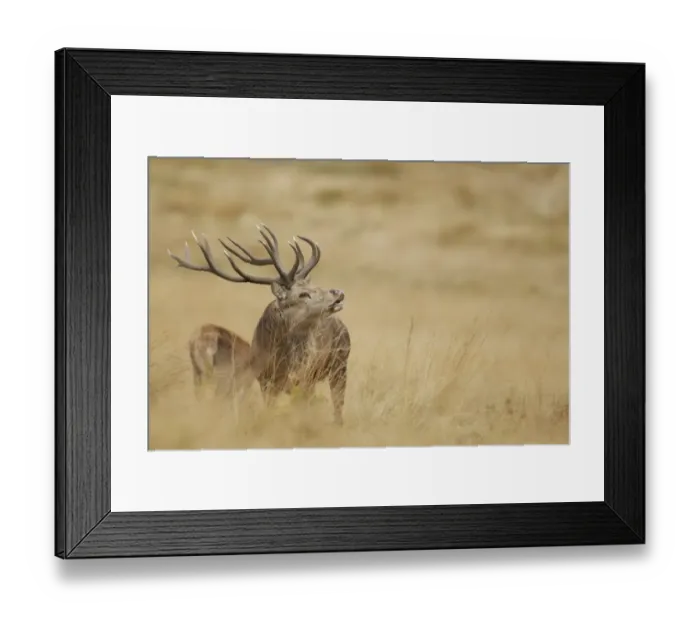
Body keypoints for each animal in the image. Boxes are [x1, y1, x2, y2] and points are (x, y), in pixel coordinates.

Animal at [167, 224, 351, 425]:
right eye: (303, 294)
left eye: (314, 286)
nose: (338, 293)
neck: (278, 360)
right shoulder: (264, 381)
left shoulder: (303, 378)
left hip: (340, 364)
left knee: (338, 404)